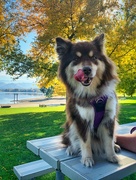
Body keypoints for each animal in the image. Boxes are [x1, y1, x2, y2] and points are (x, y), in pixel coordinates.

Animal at [55, 34, 120, 167]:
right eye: (76, 58)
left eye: (93, 57)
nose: (87, 70)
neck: (93, 95)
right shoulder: (81, 119)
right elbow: (85, 142)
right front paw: (87, 158)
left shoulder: (109, 117)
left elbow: (109, 140)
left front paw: (111, 155)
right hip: (71, 125)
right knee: (71, 140)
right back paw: (71, 148)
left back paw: (115, 146)